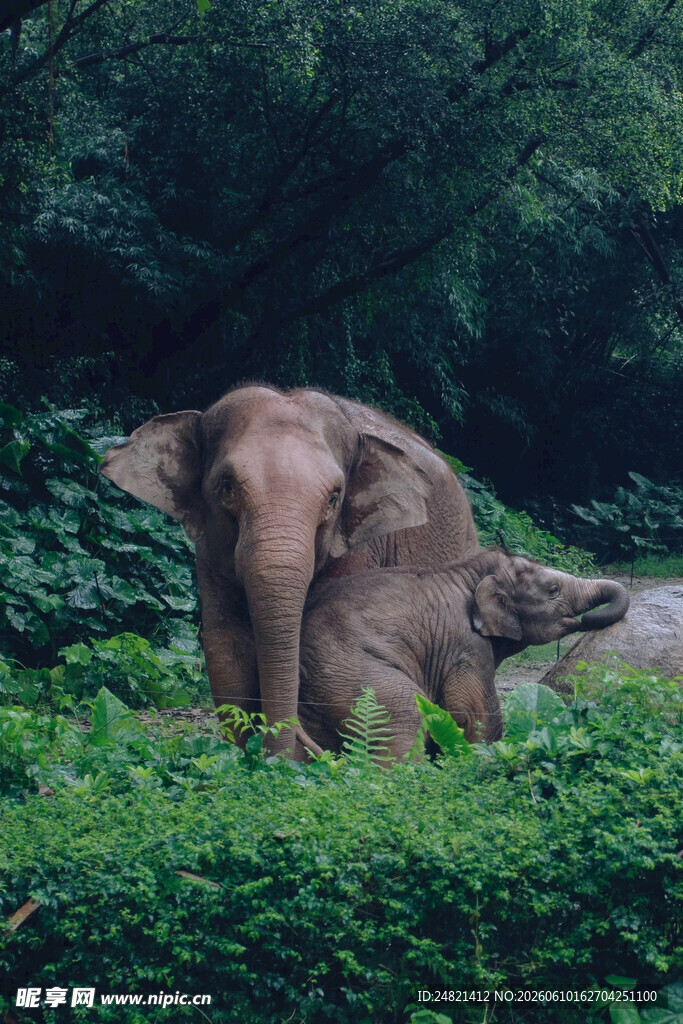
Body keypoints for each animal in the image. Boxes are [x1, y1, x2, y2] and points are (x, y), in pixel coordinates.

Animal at [100, 385, 478, 757]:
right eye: (226, 486)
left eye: (334, 498)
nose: (286, 750)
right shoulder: (208, 552)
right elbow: (226, 648)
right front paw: (251, 758)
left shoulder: (360, 547)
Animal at [297, 548, 630, 757]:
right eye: (553, 591)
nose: (589, 619)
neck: (469, 570)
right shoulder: (465, 644)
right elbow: (476, 714)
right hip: (348, 671)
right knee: (405, 714)